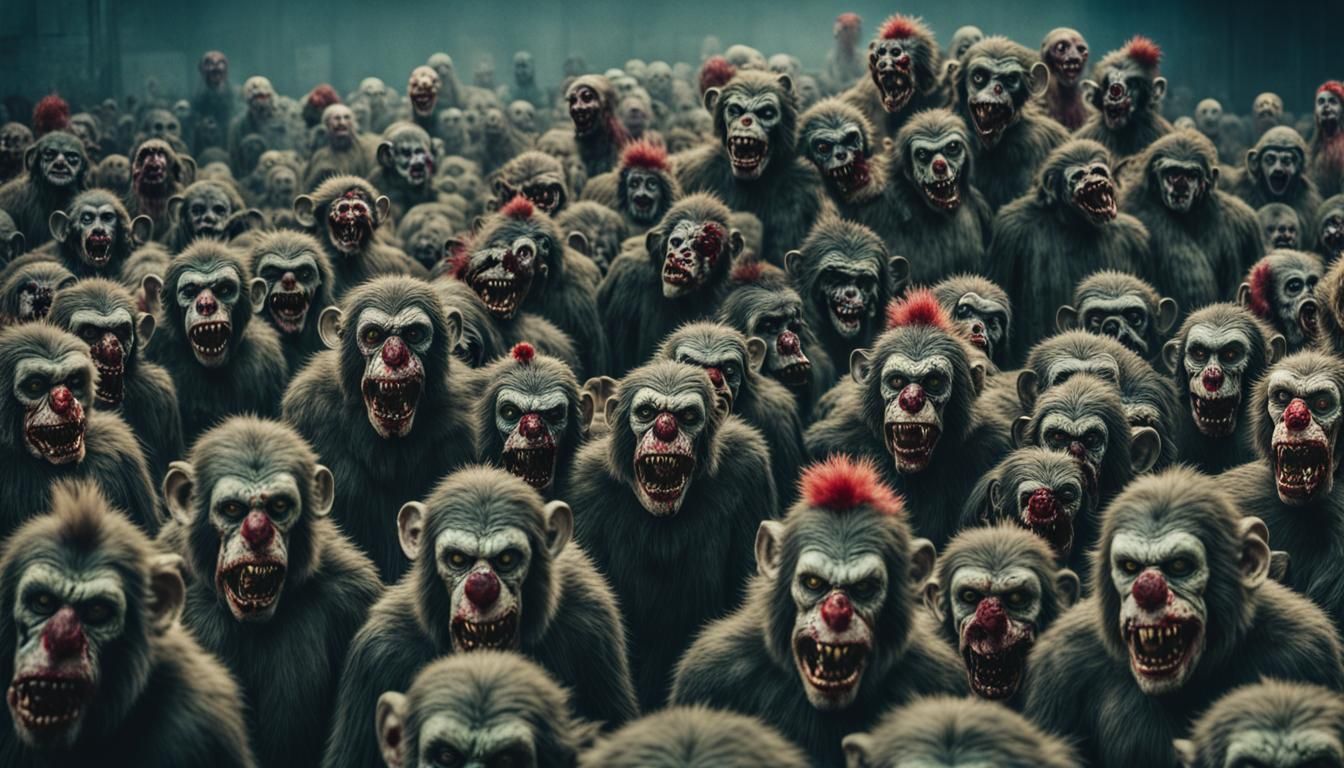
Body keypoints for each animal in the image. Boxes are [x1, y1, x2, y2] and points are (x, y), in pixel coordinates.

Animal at [989, 139, 1151, 366]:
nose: (1094, 181)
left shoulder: (1136, 238)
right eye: (1078, 176)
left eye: (1098, 170)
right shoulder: (1010, 231)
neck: (1076, 224)